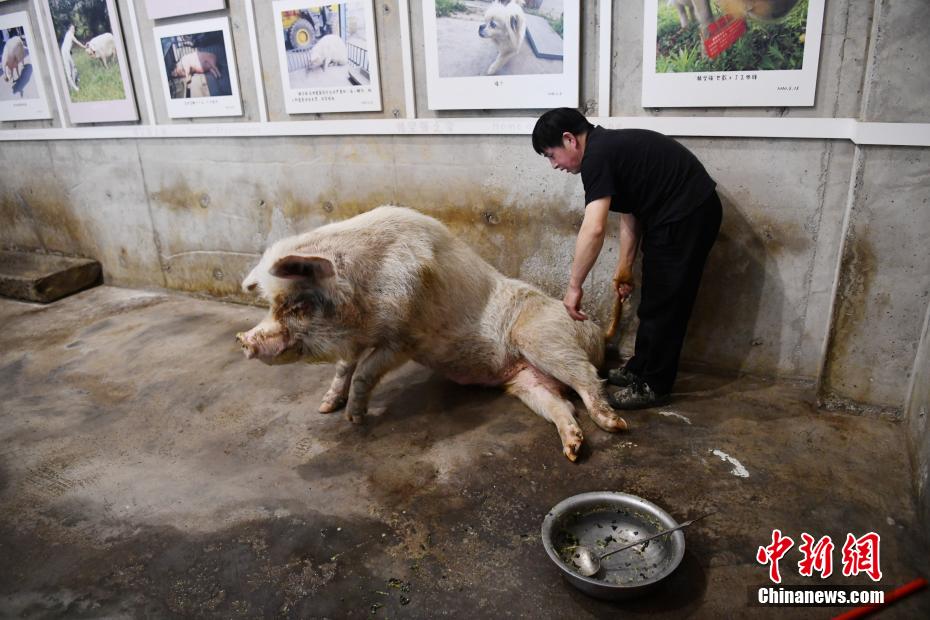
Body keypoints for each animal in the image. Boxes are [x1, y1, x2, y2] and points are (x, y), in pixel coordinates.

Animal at [236, 205, 628, 460]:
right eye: (272, 306)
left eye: (297, 306)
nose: (242, 340)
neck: (361, 301)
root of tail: (595, 330)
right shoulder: (358, 339)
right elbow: (344, 367)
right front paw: (325, 408)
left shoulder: (403, 338)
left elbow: (365, 372)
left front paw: (354, 419)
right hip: (526, 382)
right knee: (563, 406)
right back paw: (573, 449)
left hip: (542, 337)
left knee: (588, 377)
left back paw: (615, 425)